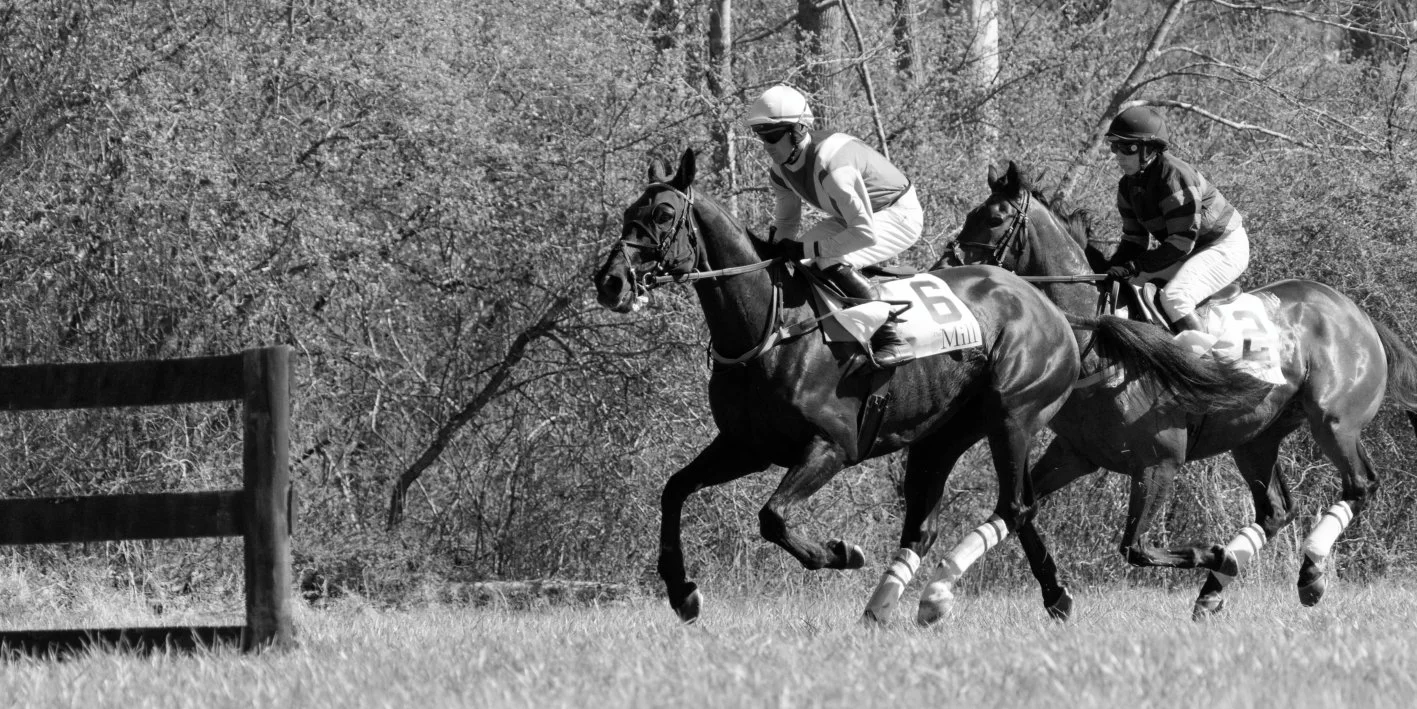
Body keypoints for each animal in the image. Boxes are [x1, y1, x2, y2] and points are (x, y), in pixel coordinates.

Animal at [593, 148, 1265, 624]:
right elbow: (674, 491)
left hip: (1013, 416)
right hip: (940, 435)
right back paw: (909, 606)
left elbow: (772, 517)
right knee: (939, 519)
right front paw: (681, 592)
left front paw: (837, 553)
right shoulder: (745, 446)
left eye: (662, 216)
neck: (770, 326)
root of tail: (1054, 311)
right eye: (628, 214)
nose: (610, 281)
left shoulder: (830, 446)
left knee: (1016, 505)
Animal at [953, 160, 1417, 618]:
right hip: (1255, 438)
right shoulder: (1073, 454)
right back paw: (1213, 593)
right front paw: (1032, 595)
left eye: (994, 218)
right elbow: (1018, 513)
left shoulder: (1159, 463)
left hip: (1334, 421)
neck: (1099, 340)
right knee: (1276, 511)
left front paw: (1217, 555)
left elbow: (1135, 547)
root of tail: (1355, 311)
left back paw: (1310, 573)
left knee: (1361, 485)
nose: (951, 262)